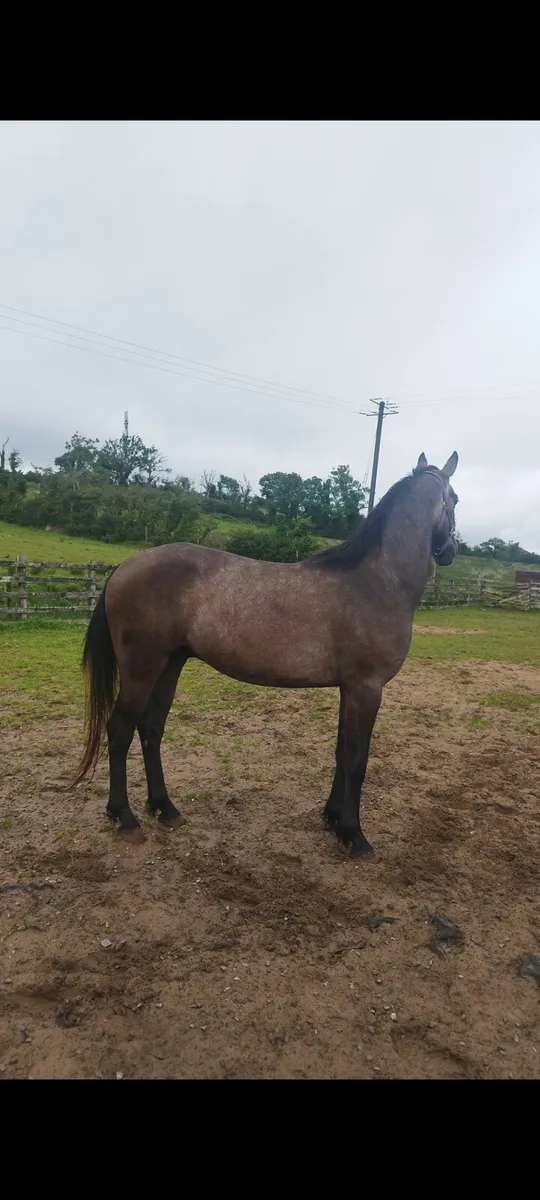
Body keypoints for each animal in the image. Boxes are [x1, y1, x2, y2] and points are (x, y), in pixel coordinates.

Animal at [73, 451, 459, 856]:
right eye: (456, 500)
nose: (450, 551)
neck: (374, 583)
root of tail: (124, 567)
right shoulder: (367, 688)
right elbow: (357, 761)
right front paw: (354, 834)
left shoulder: (349, 689)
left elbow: (341, 754)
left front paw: (332, 819)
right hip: (141, 669)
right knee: (119, 730)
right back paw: (124, 817)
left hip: (169, 665)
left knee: (151, 728)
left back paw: (165, 808)